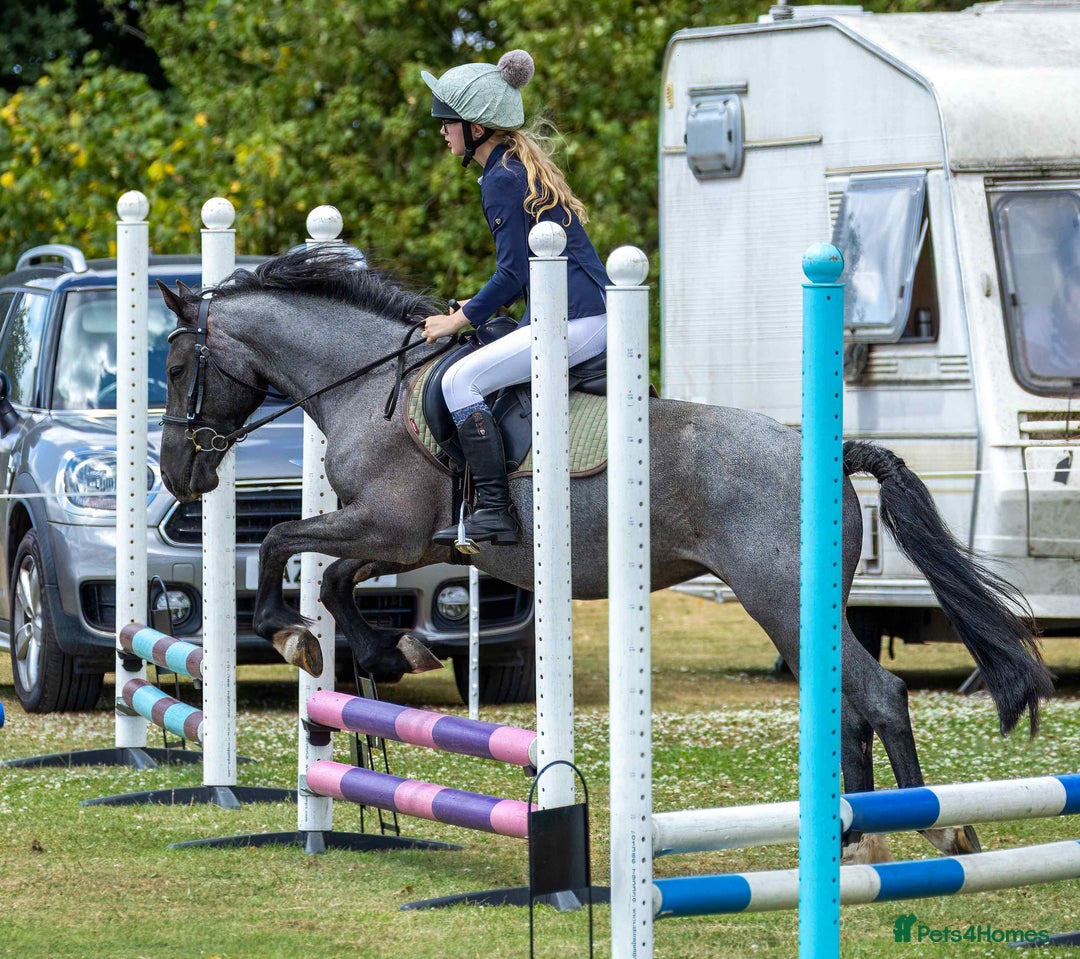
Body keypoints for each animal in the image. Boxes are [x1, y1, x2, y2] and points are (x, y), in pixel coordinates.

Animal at [157, 246, 1054, 860]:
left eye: (173, 365)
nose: (177, 475)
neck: (363, 383)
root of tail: (828, 451)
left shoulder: (388, 528)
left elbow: (287, 545)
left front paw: (294, 635)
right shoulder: (396, 540)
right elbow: (336, 582)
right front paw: (387, 649)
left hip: (780, 598)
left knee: (881, 696)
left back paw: (945, 833)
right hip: (805, 607)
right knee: (852, 705)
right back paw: (858, 840)